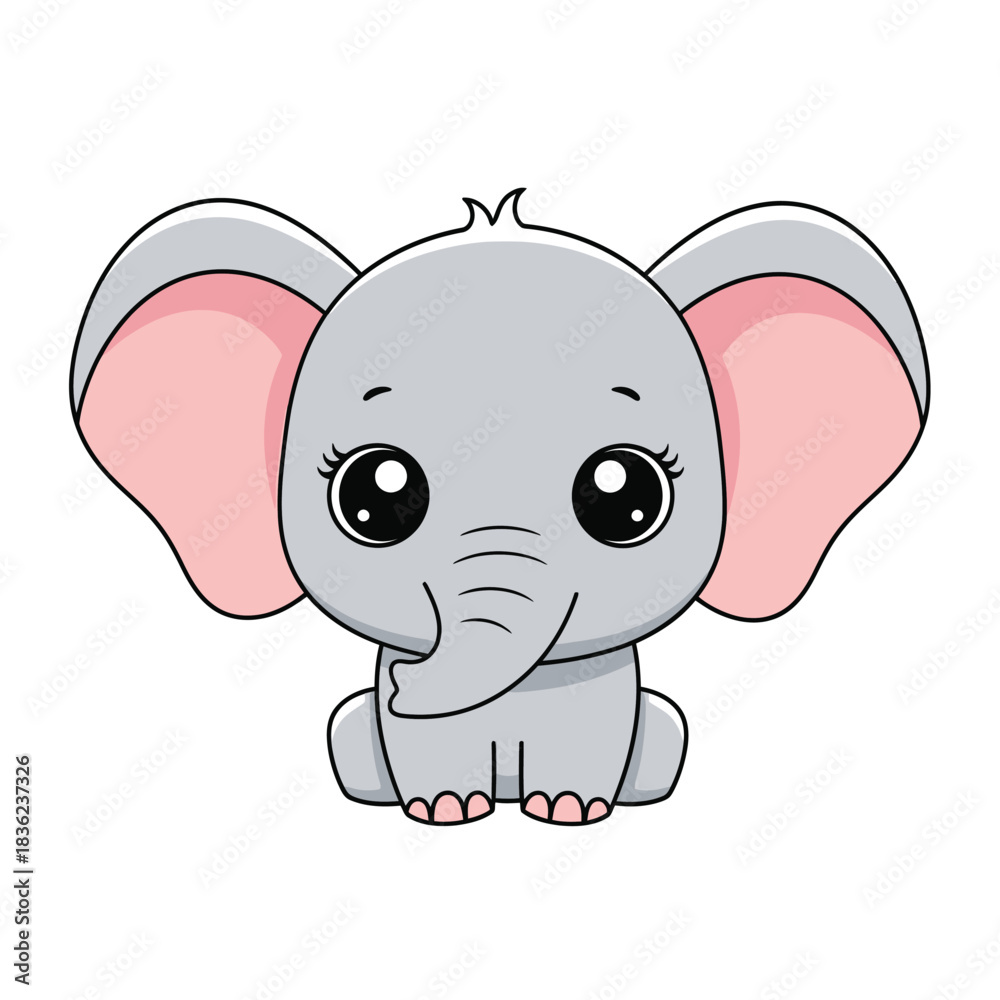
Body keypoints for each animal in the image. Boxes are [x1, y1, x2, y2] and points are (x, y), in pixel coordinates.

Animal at [70, 189, 928, 825]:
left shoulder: (603, 696)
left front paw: (567, 809)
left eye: (627, 497)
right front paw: (448, 809)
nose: (404, 684)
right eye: (373, 497)